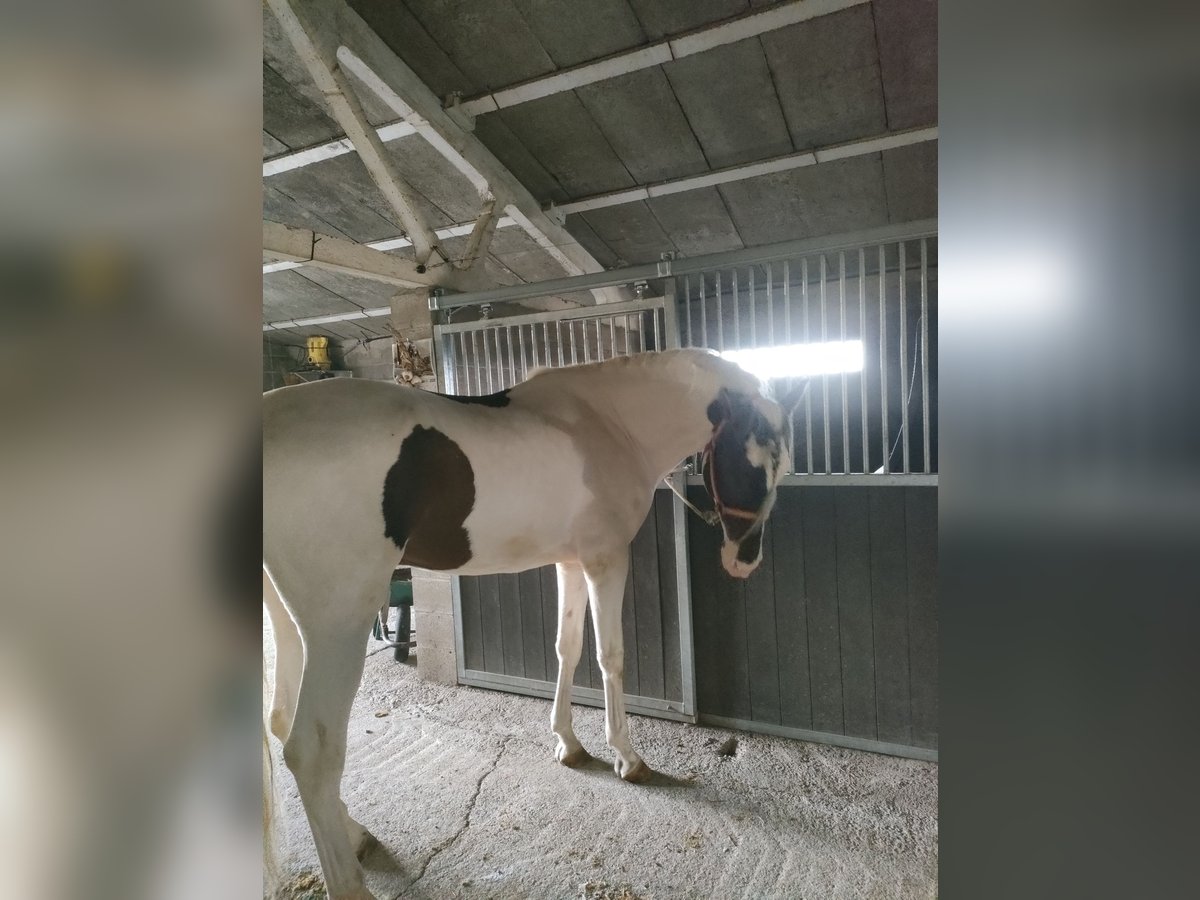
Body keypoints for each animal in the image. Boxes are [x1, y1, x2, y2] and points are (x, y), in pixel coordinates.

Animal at [263, 347, 799, 899]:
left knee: (280, 720)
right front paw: (626, 757)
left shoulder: (571, 562)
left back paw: (357, 834)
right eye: (747, 462)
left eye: (784, 467)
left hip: (288, 620)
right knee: (312, 750)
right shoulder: (605, 560)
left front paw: (569, 744)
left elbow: (568, 646)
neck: (609, 421)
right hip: (338, 624)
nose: (744, 562)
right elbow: (610, 655)